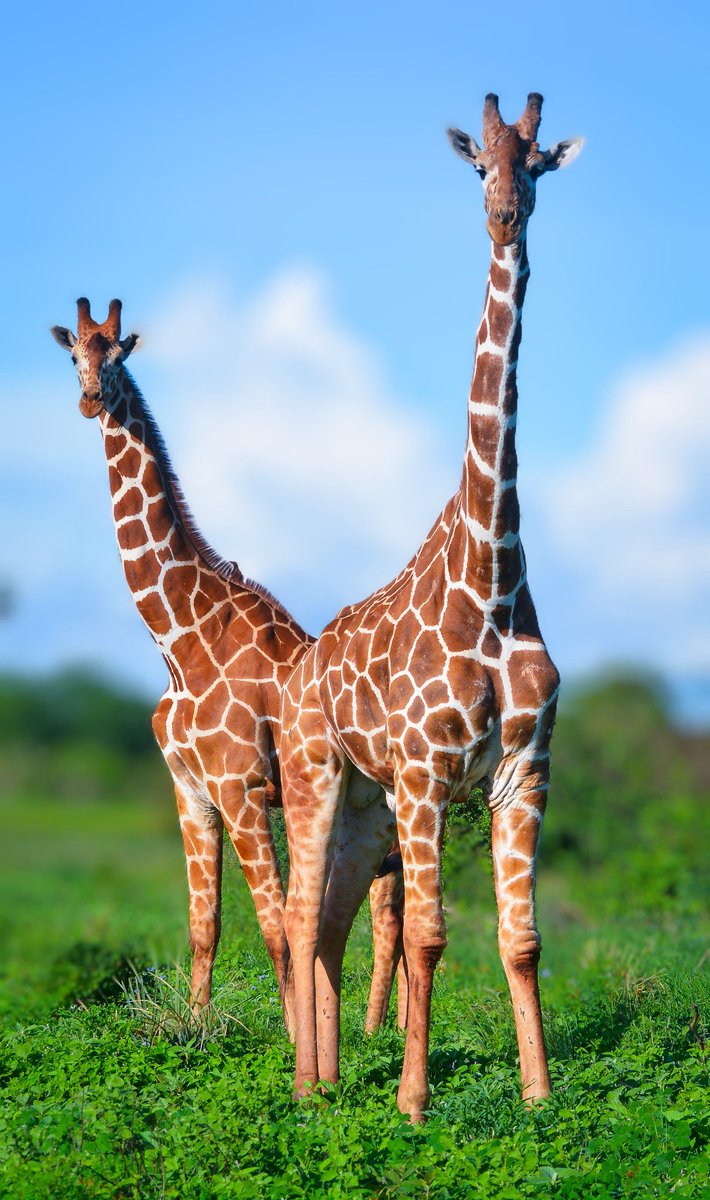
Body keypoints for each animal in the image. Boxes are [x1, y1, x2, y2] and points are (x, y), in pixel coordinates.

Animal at [51, 298, 406, 1036]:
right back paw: (375, 1031)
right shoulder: (190, 790)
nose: (91, 400)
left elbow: (274, 927)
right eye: (73, 354)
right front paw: (195, 1027)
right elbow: (203, 923)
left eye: (117, 355)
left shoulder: (239, 786)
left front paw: (293, 1039)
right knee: (389, 910)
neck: (178, 638)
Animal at [279, 93, 583, 1120]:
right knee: (300, 914)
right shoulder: (423, 772)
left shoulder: (520, 769)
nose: (505, 217)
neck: (491, 580)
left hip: (366, 802)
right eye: (478, 165)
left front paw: (538, 1097)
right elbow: (427, 938)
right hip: (319, 774)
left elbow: (520, 940)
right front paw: (412, 1102)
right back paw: (306, 1090)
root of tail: (303, 663)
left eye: (538, 164)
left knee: (332, 921)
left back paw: (333, 1082)